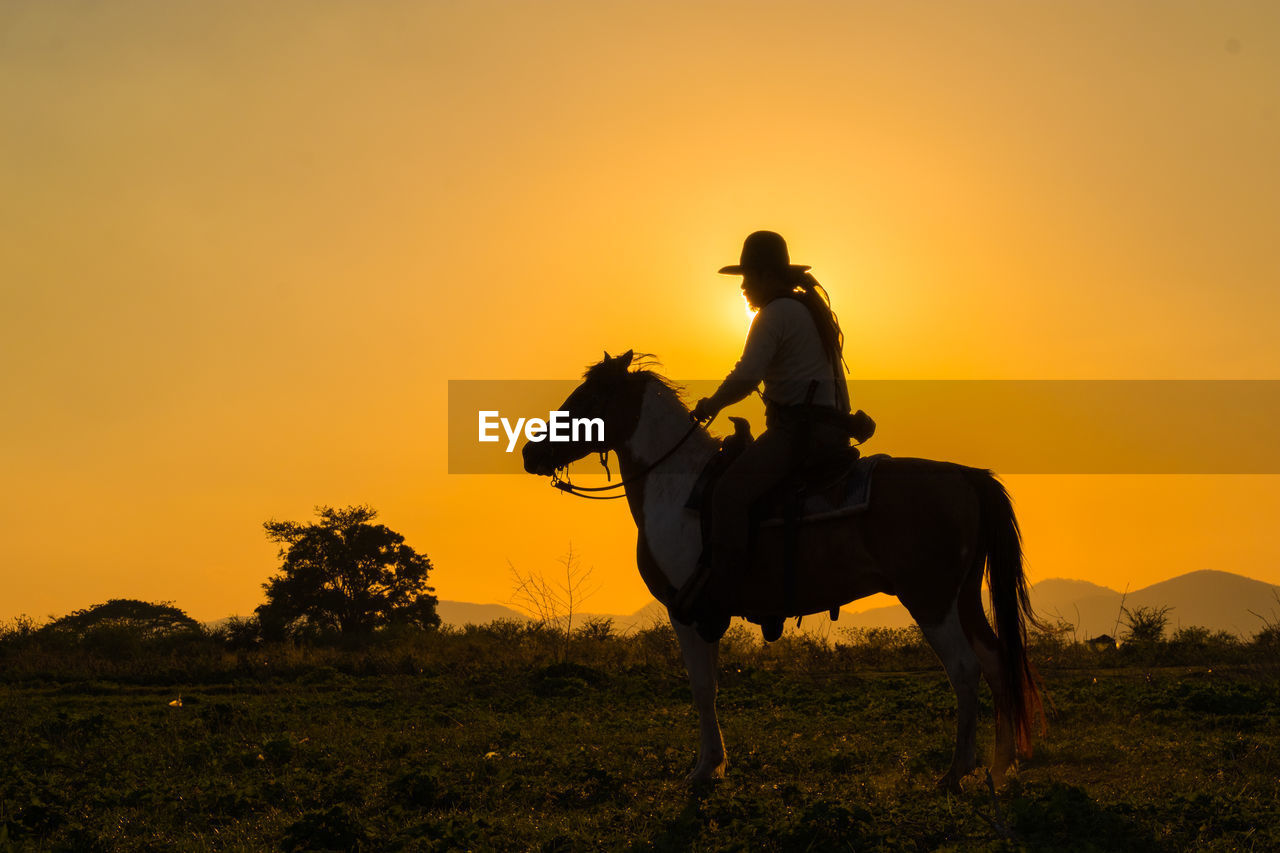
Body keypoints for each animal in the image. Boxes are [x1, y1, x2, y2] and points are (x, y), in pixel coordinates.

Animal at [519, 348, 1039, 788]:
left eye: (587, 398)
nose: (530, 452)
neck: (677, 488)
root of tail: (966, 476)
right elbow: (709, 686)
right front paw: (712, 764)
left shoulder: (687, 610)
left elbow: (702, 687)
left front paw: (705, 770)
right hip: (962, 597)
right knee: (996, 661)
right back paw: (1001, 766)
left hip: (929, 599)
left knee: (965, 669)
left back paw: (956, 772)